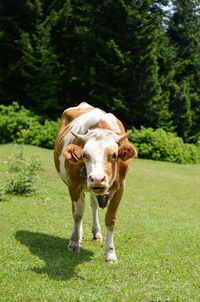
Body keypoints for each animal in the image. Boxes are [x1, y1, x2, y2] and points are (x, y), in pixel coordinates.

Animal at [54, 102, 137, 264]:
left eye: (114, 154)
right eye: (85, 155)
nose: (97, 179)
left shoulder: (121, 187)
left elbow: (111, 219)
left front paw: (110, 253)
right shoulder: (73, 185)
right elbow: (78, 214)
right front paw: (74, 242)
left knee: (93, 205)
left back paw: (97, 233)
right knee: (79, 208)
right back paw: (79, 236)